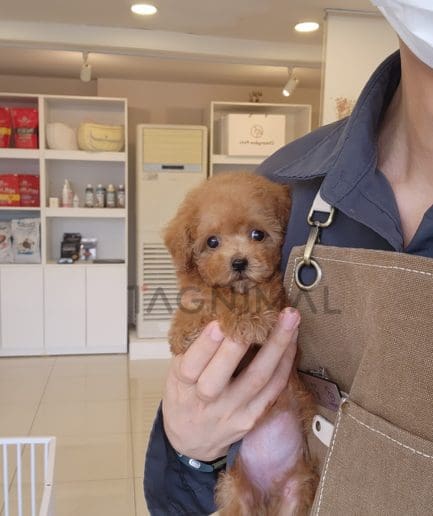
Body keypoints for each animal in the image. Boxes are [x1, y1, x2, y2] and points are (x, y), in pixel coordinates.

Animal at [164, 172, 318, 515]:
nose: (238, 262)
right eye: (212, 242)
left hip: (297, 489)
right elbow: (202, 298)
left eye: (257, 234)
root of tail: (268, 494)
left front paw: (249, 317)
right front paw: (184, 331)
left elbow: (243, 299)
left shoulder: (273, 296)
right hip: (235, 491)